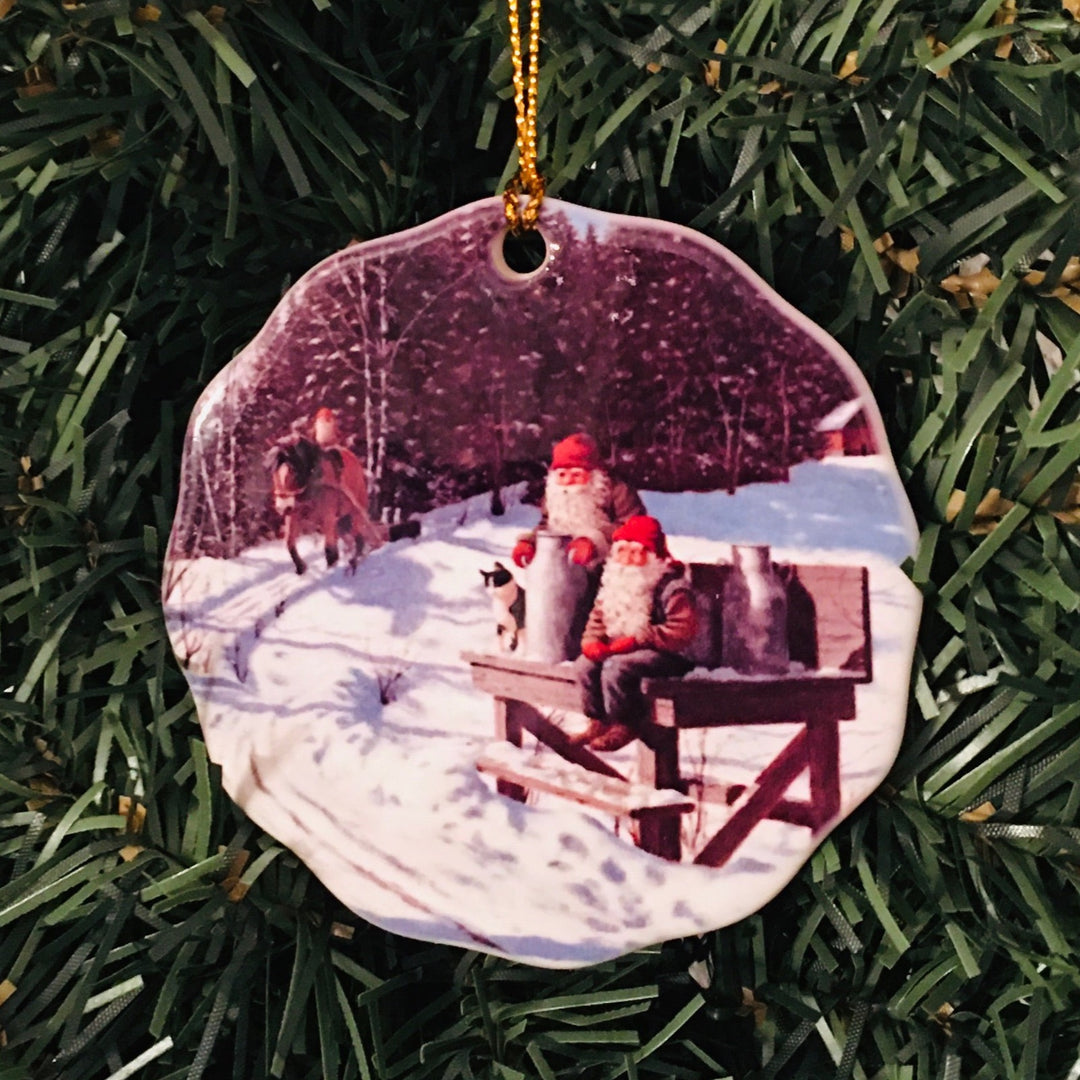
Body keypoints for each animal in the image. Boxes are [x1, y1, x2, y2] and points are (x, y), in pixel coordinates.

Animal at [264, 436, 384, 578]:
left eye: (294, 470)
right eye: (273, 472)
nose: (282, 508)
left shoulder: (328, 517)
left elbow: (329, 549)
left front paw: (331, 570)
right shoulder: (293, 516)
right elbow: (289, 542)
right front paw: (301, 567)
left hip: (355, 512)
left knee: (359, 538)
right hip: (340, 521)